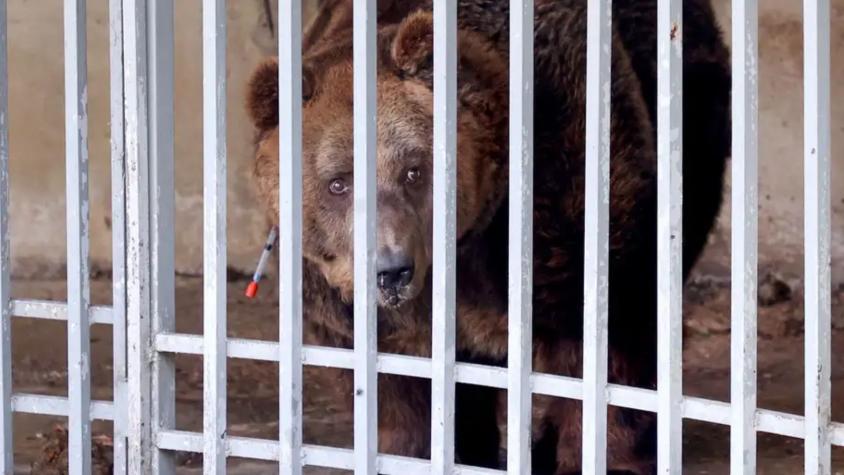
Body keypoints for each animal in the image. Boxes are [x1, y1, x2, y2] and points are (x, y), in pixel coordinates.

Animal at [246, 1, 732, 474]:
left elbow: (606, 333)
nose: (391, 271)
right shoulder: (346, 301)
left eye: (413, 170)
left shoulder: (562, 194)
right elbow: (395, 386)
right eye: (338, 183)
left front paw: (605, 457)